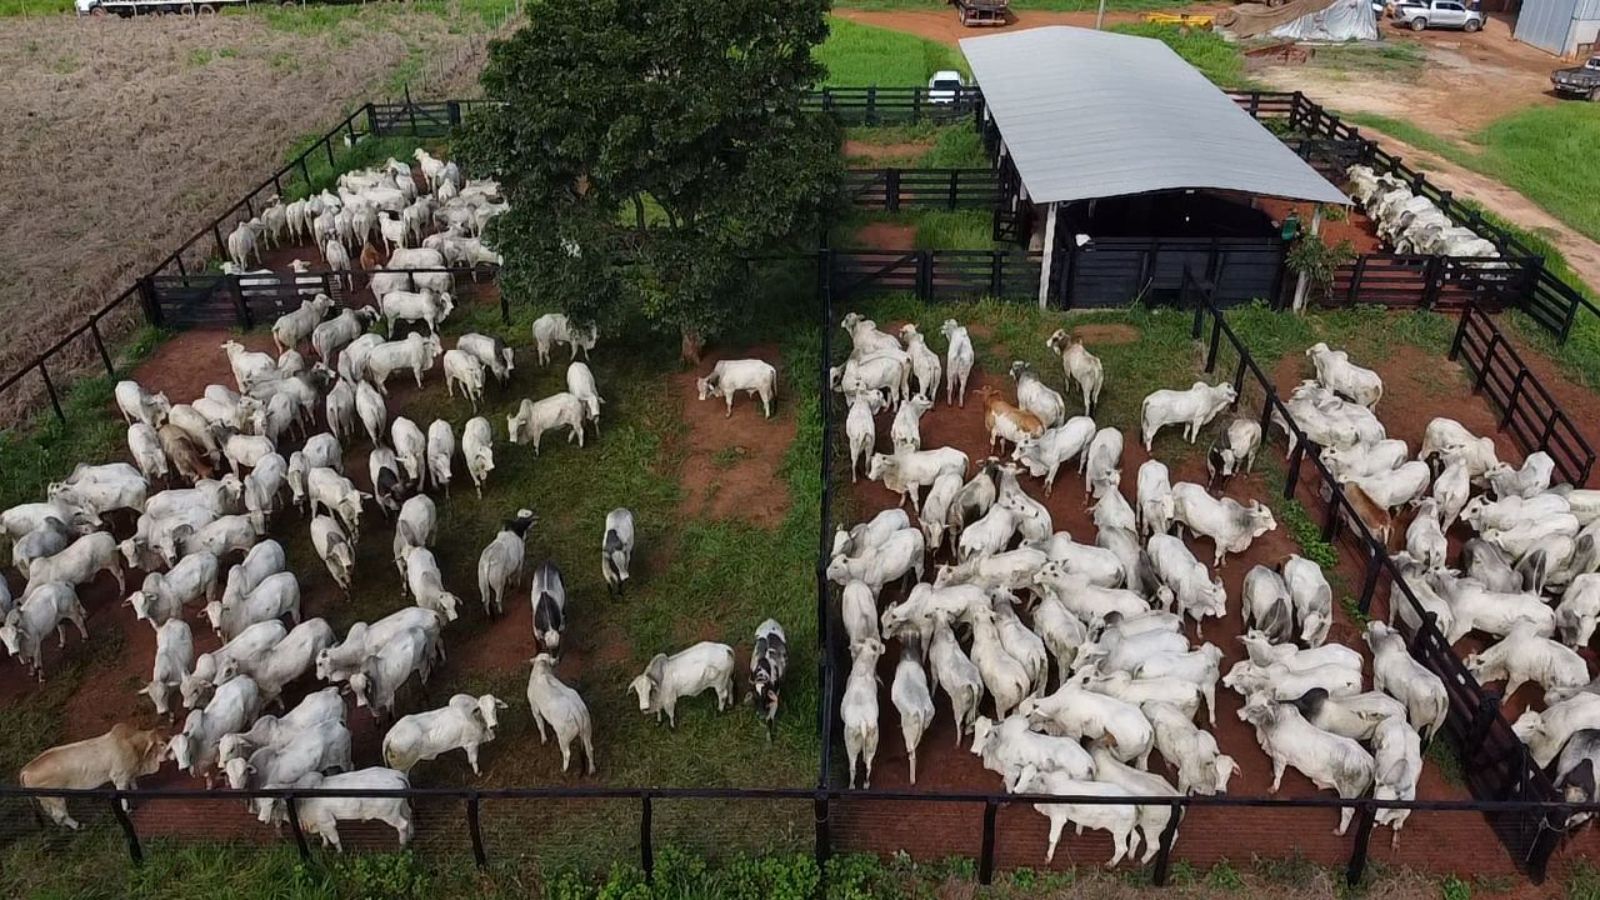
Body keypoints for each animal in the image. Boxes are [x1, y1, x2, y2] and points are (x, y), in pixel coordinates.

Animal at [21, 720, 165, 826]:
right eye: (162, 744)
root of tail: (26, 769)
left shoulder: (130, 772)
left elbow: (133, 782)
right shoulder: (120, 777)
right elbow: (123, 795)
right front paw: (127, 809)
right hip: (55, 799)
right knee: (60, 815)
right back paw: (78, 825)